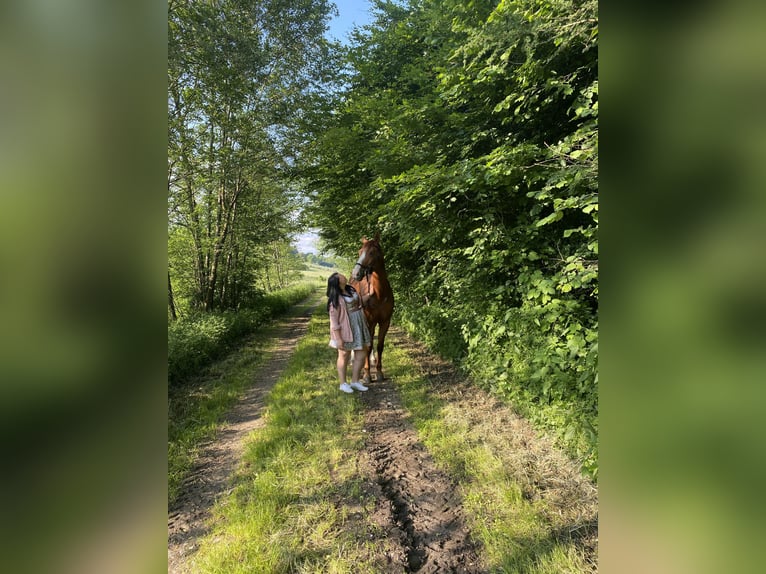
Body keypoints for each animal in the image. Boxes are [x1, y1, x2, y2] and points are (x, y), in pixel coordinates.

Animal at [350, 233, 394, 383]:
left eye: (372, 252)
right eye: (359, 252)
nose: (356, 273)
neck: (379, 294)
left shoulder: (385, 322)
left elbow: (379, 346)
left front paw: (379, 372)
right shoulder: (369, 321)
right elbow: (368, 346)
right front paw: (367, 374)